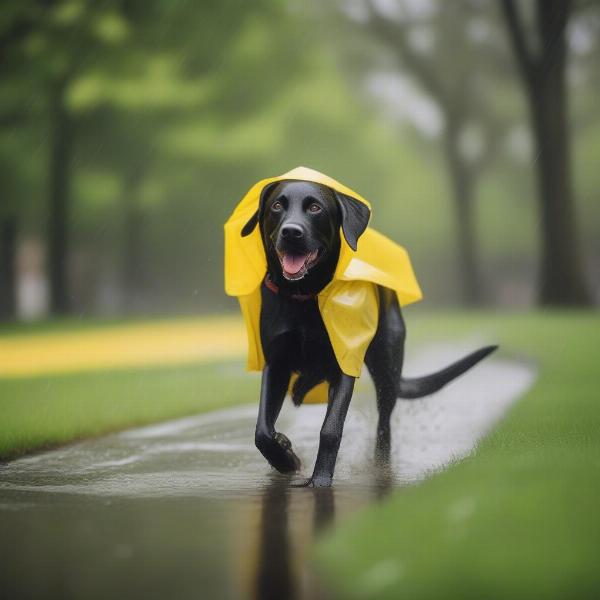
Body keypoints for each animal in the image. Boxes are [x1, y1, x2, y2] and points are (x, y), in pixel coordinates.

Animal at [241, 182, 494, 488]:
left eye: (315, 207)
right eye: (277, 205)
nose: (291, 231)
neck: (303, 295)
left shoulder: (343, 363)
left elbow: (331, 429)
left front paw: (321, 480)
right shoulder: (276, 364)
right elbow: (262, 431)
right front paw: (286, 458)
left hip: (386, 370)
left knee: (384, 428)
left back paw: (381, 468)